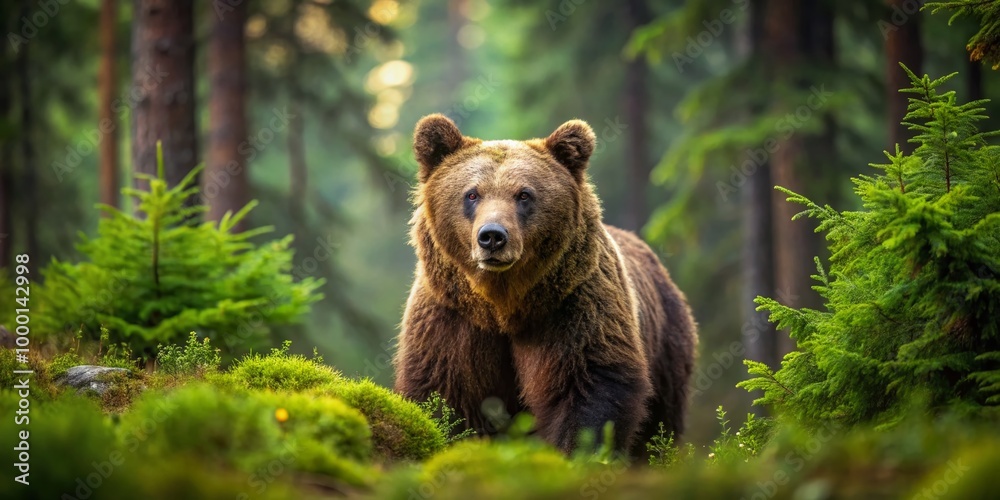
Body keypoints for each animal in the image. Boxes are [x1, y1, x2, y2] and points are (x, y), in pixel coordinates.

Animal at [394, 114, 698, 456]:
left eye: (523, 194)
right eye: (472, 194)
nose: (492, 236)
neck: (502, 305)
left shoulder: (573, 305)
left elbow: (587, 383)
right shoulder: (451, 315)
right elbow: (442, 389)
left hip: (666, 343)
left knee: (660, 422)